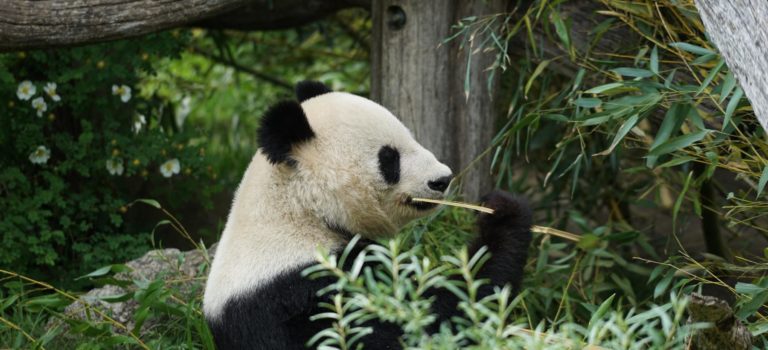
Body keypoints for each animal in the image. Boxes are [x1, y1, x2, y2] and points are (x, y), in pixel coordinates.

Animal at [201, 80, 532, 348]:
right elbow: (436, 315)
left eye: (411, 137)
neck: (298, 209)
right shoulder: (309, 288)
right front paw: (503, 213)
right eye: (389, 158)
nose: (442, 179)